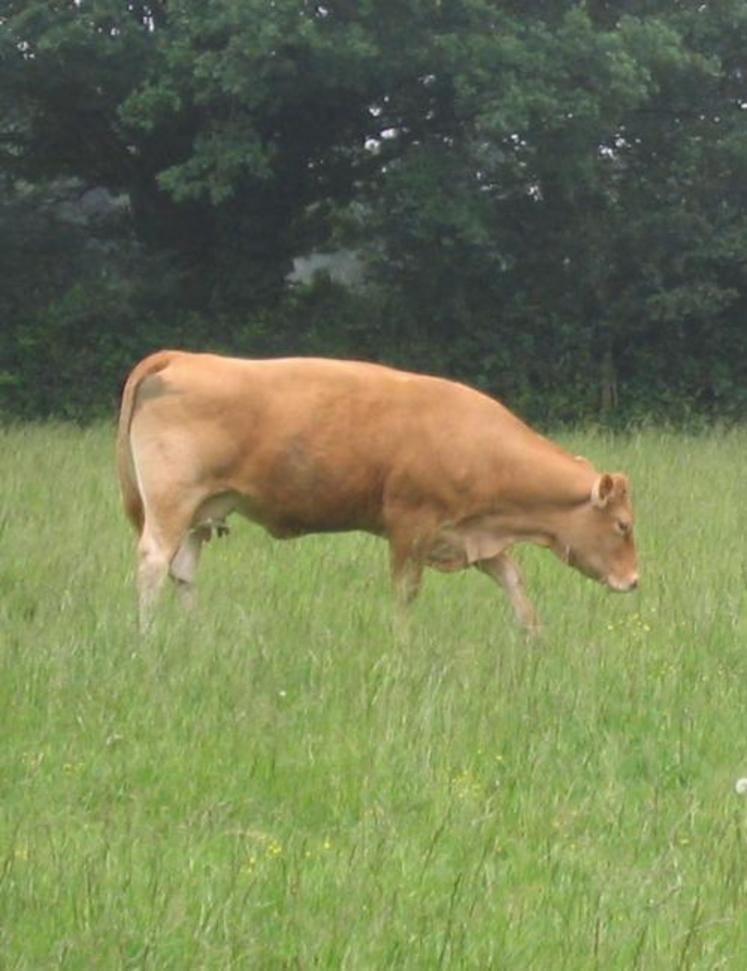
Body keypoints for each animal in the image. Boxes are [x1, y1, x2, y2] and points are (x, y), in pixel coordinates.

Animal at [117, 354, 636, 636]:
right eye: (623, 525)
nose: (633, 581)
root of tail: (181, 357)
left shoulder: (473, 536)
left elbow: (513, 582)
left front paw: (535, 638)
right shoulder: (410, 525)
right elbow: (406, 593)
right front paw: (403, 645)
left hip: (202, 511)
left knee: (183, 571)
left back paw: (194, 635)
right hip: (171, 503)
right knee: (153, 563)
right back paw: (148, 637)